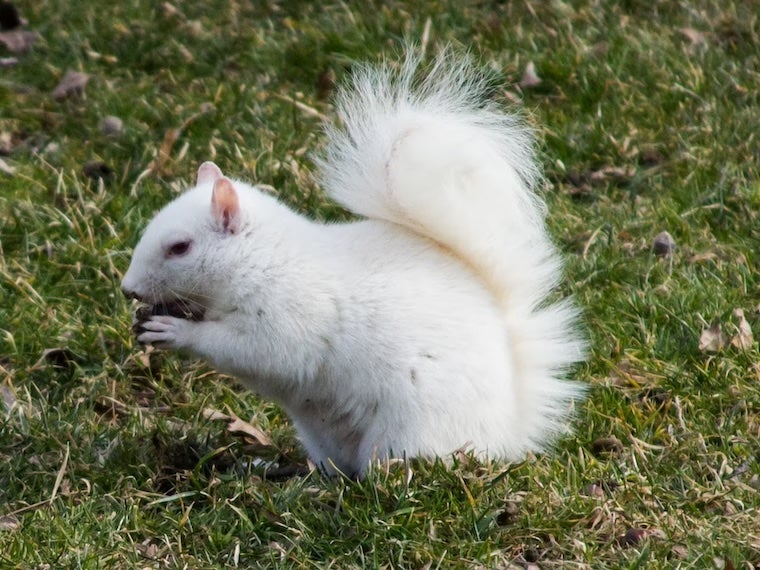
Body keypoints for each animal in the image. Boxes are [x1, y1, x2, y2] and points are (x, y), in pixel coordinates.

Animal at [121, 51, 586, 478]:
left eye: (180, 247)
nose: (129, 290)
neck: (262, 260)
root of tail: (509, 430)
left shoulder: (291, 316)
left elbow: (258, 353)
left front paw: (175, 331)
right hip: (324, 435)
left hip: (411, 427)